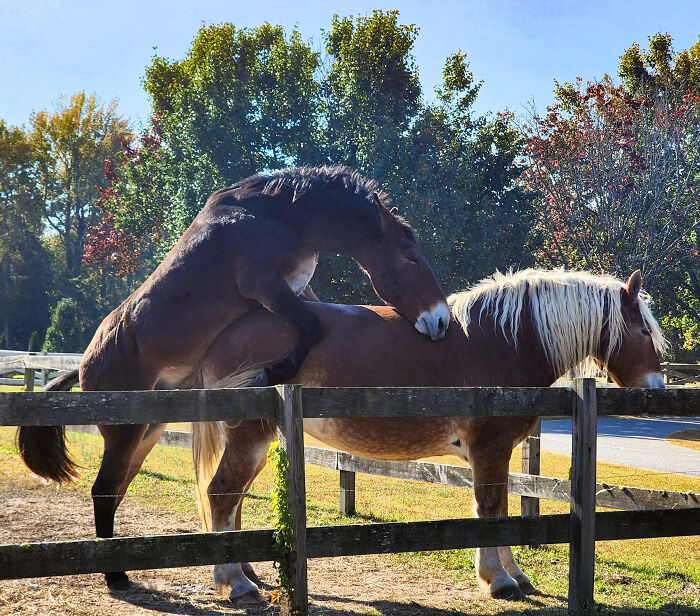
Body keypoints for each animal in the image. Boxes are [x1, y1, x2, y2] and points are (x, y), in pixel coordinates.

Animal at [17, 165, 449, 590]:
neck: (281, 216)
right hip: (125, 433)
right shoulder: (265, 287)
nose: (441, 320)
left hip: (147, 433)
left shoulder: (294, 291)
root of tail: (84, 365)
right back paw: (116, 576)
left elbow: (315, 320)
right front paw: (273, 371)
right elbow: (311, 326)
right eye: (411, 258)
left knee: (118, 489)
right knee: (105, 491)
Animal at [193, 268, 667, 602]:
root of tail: (224, 337)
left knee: (234, 500)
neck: (504, 342)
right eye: (644, 331)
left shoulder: (498, 453)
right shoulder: (489, 448)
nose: (657, 389)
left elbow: (501, 508)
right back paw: (235, 583)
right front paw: (498, 580)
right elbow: (490, 509)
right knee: (222, 494)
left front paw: (514, 573)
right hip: (249, 437)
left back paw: (247, 572)